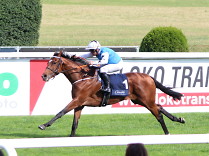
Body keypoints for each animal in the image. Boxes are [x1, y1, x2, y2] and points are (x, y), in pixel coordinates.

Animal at [38, 50, 185, 136]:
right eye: (48, 62)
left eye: (54, 62)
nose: (44, 76)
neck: (83, 77)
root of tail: (148, 77)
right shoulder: (80, 104)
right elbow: (75, 124)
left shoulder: (77, 100)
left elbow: (61, 112)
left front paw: (43, 125)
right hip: (140, 100)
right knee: (159, 107)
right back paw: (178, 119)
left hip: (146, 100)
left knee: (158, 115)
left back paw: (167, 133)